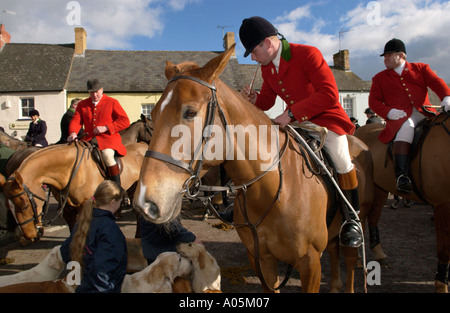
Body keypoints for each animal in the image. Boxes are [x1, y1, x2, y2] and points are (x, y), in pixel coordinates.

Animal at [3, 140, 148, 243]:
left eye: (24, 206)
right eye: (9, 208)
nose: (31, 236)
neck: (70, 170)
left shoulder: (86, 204)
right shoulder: (68, 208)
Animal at [133, 45, 376, 292]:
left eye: (190, 112)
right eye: (153, 115)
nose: (144, 203)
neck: (272, 191)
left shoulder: (310, 262)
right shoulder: (260, 259)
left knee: (349, 256)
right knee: (335, 250)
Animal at [356, 115, 450, 292]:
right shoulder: (443, 205)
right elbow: (444, 250)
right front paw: (442, 285)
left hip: (380, 188)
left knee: (373, 218)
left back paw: (378, 252)